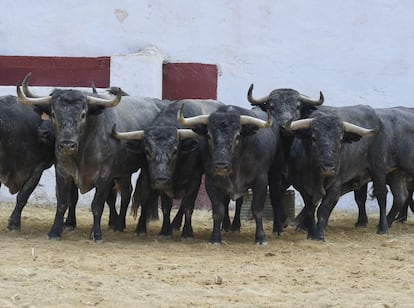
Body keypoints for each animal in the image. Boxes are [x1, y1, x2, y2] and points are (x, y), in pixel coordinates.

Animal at [17, 73, 167, 243]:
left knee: (143, 196)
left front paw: (96, 234)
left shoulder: (104, 176)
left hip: (146, 169)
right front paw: (55, 231)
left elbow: (97, 205)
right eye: (53, 114)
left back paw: (138, 228)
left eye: (83, 115)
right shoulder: (63, 172)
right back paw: (119, 224)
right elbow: (63, 202)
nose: (67, 145)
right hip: (123, 171)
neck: (82, 151)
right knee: (126, 193)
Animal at [111, 98, 225, 238]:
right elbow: (165, 206)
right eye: (147, 151)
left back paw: (176, 224)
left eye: (175, 151)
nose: (161, 179)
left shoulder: (195, 178)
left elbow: (188, 205)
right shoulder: (155, 180)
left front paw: (187, 232)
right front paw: (164, 231)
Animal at [178, 104, 288, 244]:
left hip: (275, 172)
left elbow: (257, 209)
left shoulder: (261, 181)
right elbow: (218, 210)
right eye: (209, 136)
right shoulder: (211, 182)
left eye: (237, 136)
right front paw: (215, 237)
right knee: (234, 202)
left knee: (275, 198)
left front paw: (261, 237)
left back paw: (277, 228)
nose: (221, 165)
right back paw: (231, 226)